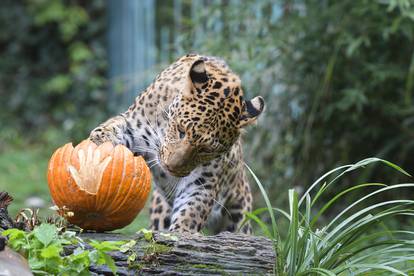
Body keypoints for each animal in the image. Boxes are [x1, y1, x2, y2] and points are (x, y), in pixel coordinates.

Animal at [90, 52, 266, 234]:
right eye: (181, 130)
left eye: (207, 150)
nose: (171, 168)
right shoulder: (136, 126)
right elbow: (115, 125)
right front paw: (101, 139)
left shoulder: (202, 181)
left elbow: (191, 209)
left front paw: (182, 232)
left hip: (240, 215)